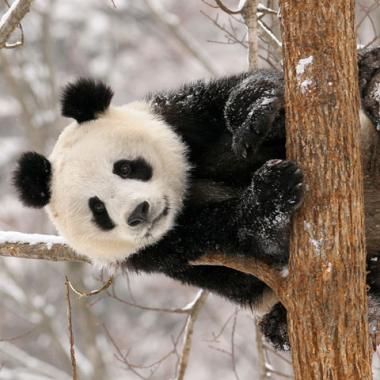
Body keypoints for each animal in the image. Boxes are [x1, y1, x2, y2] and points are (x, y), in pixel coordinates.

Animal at [11, 46, 380, 350]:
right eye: (98, 208)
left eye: (125, 167)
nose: (139, 212)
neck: (186, 193)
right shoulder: (166, 251)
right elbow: (249, 257)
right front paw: (272, 191)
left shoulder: (182, 118)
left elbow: (234, 98)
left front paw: (256, 114)